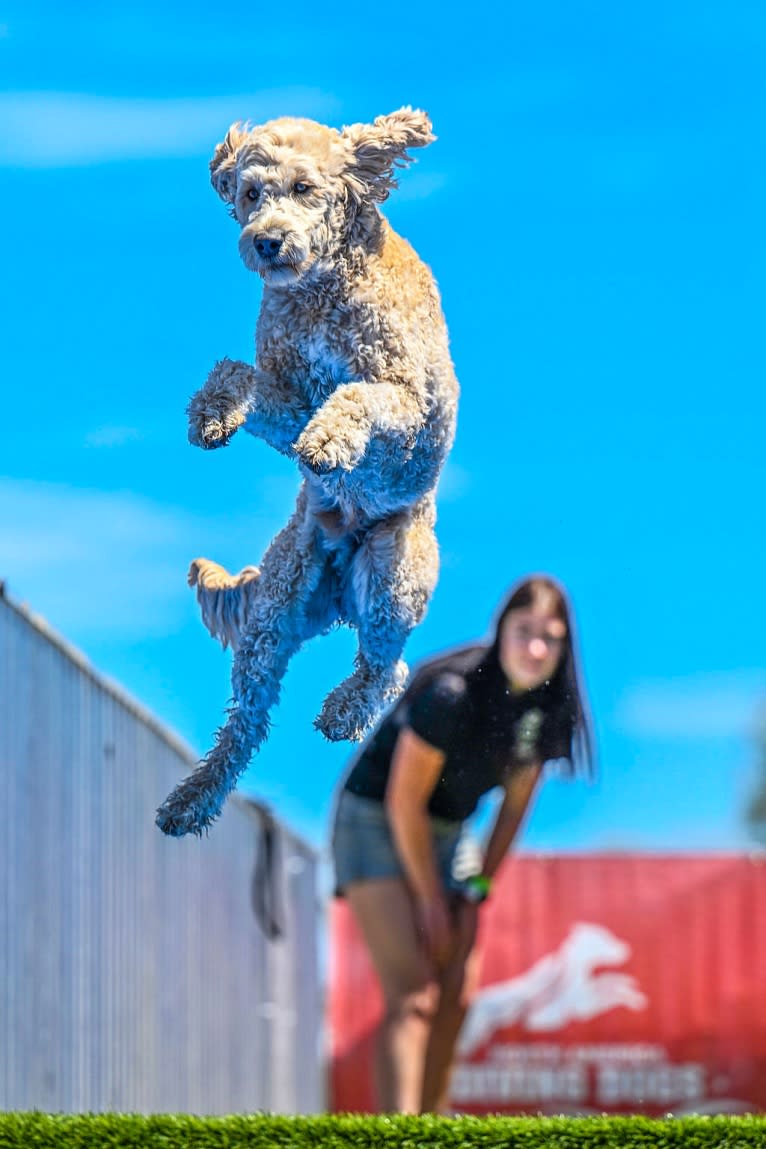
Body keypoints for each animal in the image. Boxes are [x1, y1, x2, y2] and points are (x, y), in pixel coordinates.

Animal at [152, 108, 459, 841]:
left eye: (303, 187)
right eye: (250, 193)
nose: (266, 243)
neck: (321, 288)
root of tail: (340, 594)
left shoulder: (404, 398)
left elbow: (356, 396)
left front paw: (329, 440)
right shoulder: (286, 394)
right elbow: (240, 374)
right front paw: (211, 415)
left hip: (392, 577)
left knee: (387, 667)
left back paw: (345, 710)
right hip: (275, 611)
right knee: (246, 726)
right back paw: (190, 801)